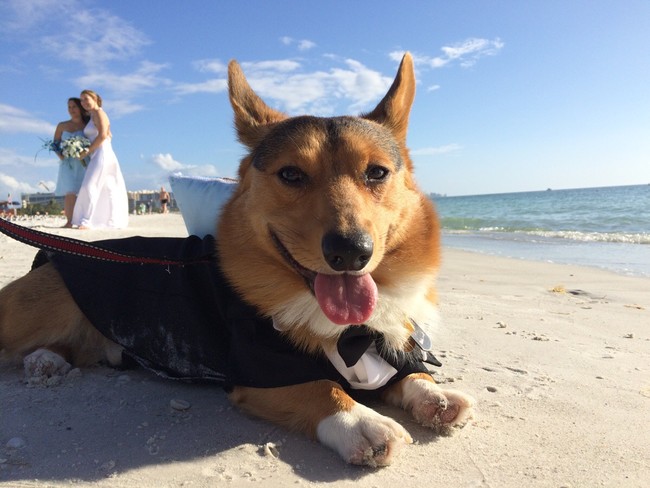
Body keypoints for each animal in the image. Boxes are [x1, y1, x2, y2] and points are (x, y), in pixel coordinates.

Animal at [2, 52, 474, 466]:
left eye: (376, 173)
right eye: (290, 174)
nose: (351, 252)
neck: (349, 333)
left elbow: (409, 373)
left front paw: (435, 394)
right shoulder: (260, 369)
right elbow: (322, 387)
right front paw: (363, 423)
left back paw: (47, 362)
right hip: (47, 304)